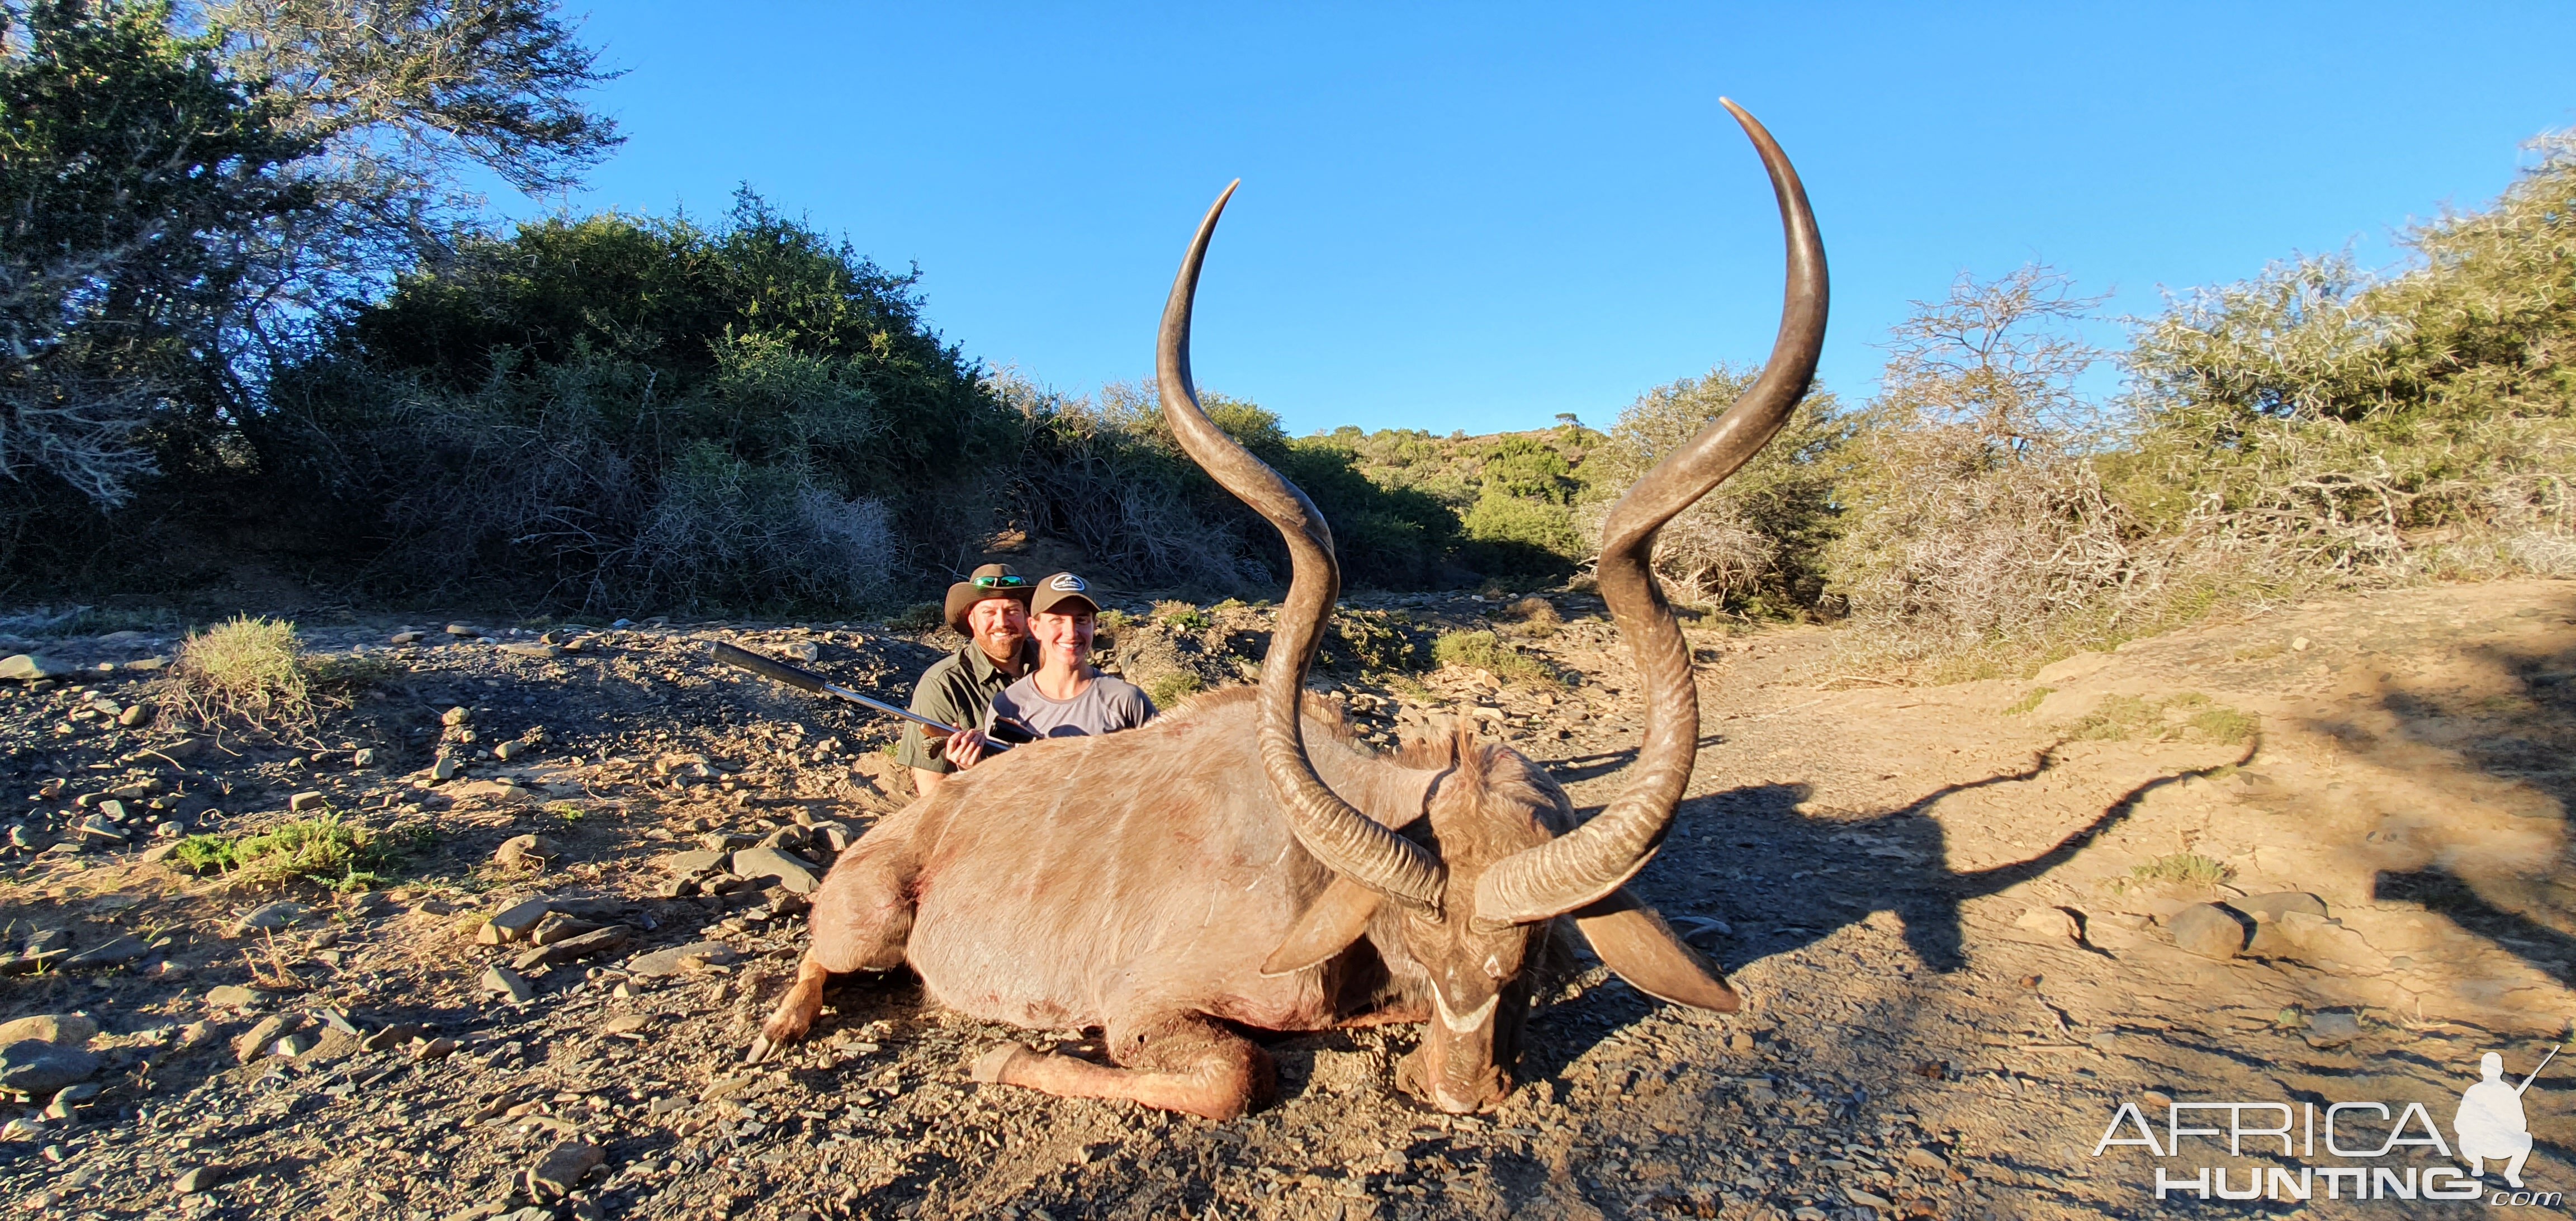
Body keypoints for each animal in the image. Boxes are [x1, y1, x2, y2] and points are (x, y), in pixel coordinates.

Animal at [752, 102, 1824, 1118]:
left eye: (1522, 957)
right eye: (1416, 942)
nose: (1459, 1089)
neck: (1306, 872)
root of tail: (902, 831)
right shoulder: (1144, 1007)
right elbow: (1234, 1074)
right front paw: (1002, 1052)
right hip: (866, 924)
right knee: (819, 958)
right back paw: (783, 1024)